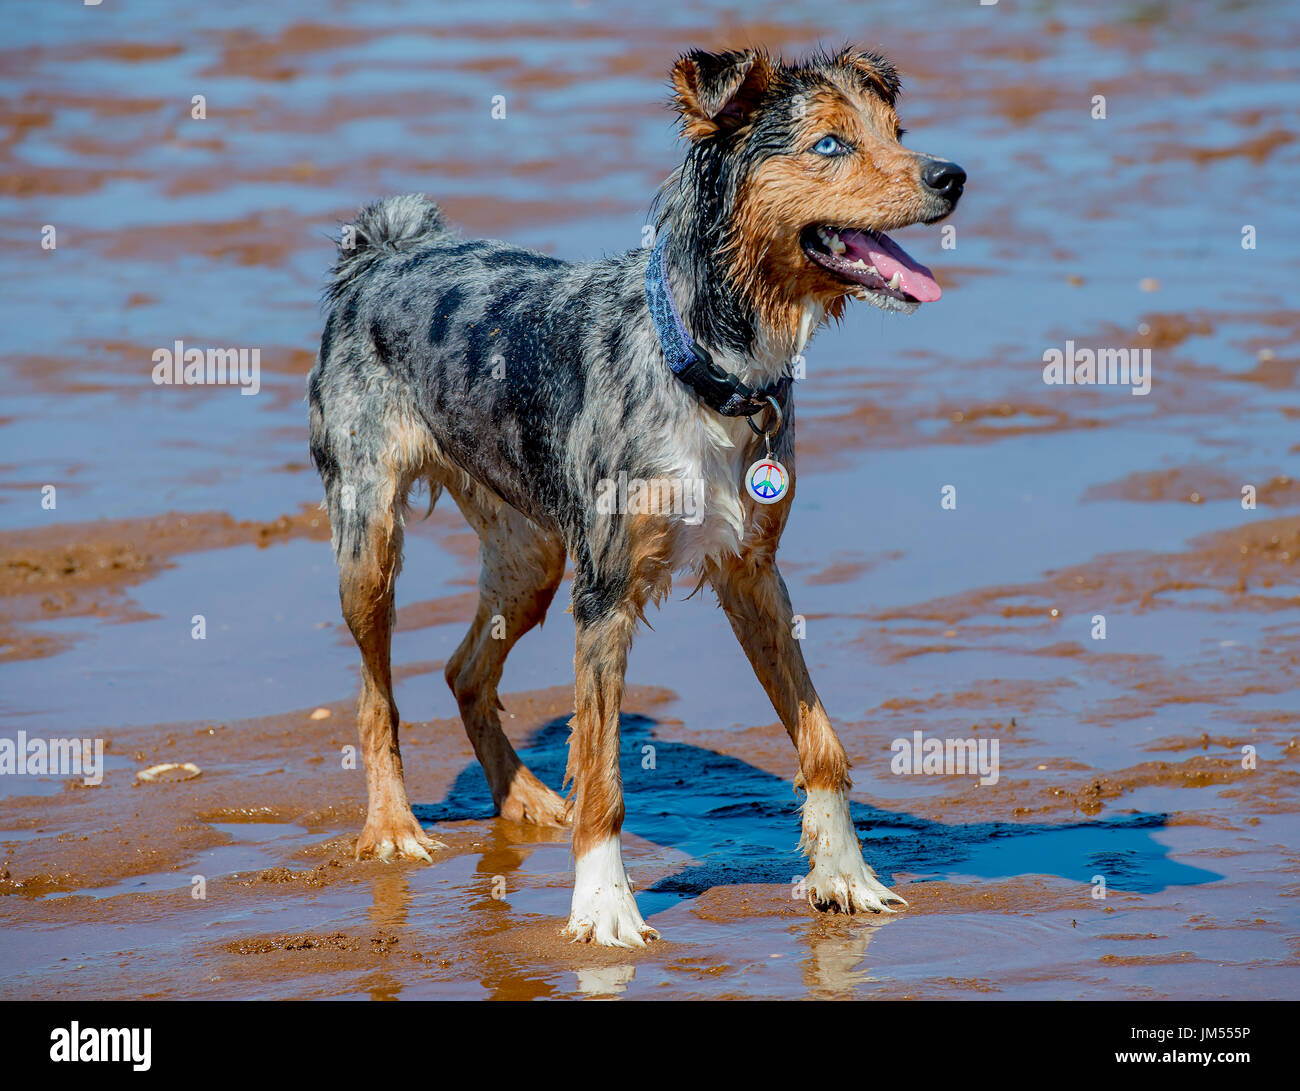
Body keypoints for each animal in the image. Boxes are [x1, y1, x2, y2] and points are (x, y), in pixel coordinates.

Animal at [309, 46, 967, 941]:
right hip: (370, 536)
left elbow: (820, 738)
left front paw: (844, 870)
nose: (952, 175)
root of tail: (382, 253)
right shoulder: (605, 596)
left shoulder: (753, 572)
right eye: (830, 145)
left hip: (529, 558)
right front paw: (604, 906)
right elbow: (604, 775)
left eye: (896, 130)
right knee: (377, 695)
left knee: (463, 670)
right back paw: (392, 826)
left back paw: (522, 796)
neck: (711, 371)